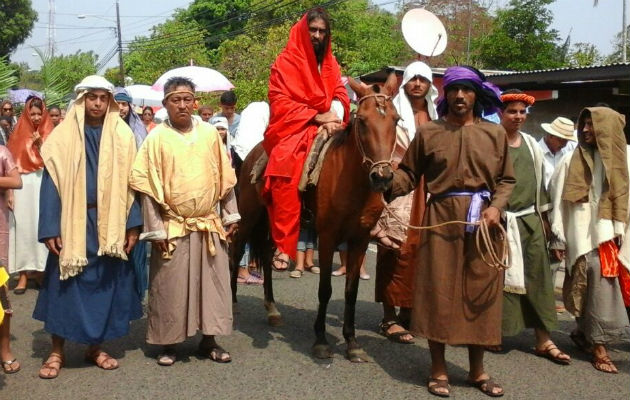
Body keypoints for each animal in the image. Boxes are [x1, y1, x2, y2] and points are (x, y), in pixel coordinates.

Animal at [231, 73, 400, 360]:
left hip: (275, 220)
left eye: (396, 119)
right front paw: (320, 340)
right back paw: (231, 306)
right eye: (363, 121)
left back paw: (272, 309)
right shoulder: (328, 236)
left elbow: (351, 291)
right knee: (235, 251)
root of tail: (254, 152)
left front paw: (352, 342)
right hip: (249, 215)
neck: (352, 183)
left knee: (266, 254)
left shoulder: (361, 238)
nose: (383, 177)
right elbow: (325, 290)